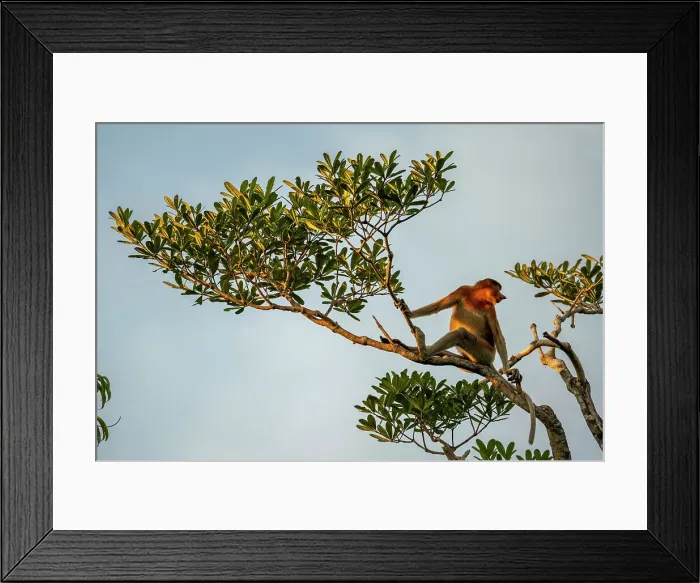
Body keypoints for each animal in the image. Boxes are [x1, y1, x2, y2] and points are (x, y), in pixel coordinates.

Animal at [404, 279, 537, 445]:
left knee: (462, 334)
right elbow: (438, 305)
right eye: (498, 290)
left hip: (486, 352)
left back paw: (424, 351)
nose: (503, 296)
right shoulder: (462, 290)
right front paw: (409, 312)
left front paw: (508, 371)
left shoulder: (490, 309)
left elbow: (498, 336)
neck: (477, 299)